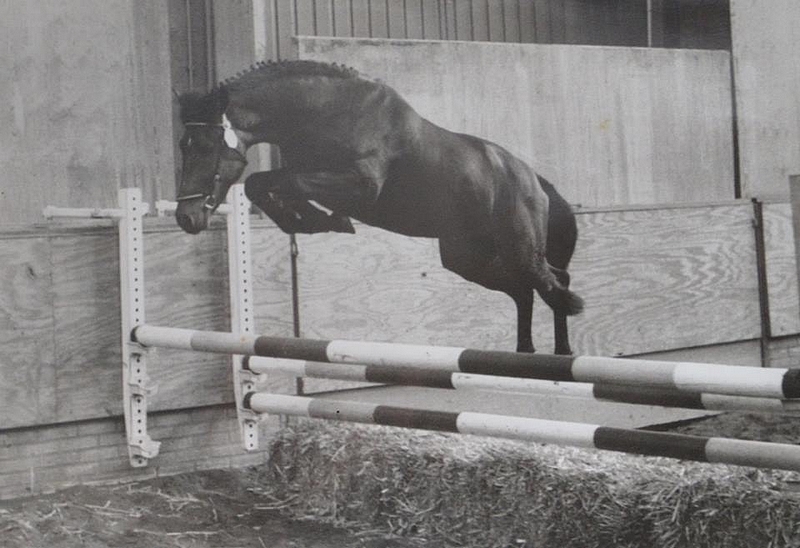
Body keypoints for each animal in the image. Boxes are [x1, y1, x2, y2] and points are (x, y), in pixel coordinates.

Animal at [175, 58, 580, 352]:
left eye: (207, 147)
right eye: (183, 145)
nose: (186, 217)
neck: (323, 112)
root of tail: (534, 180)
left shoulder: (360, 184)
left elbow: (276, 182)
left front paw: (326, 221)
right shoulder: (306, 174)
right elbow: (263, 184)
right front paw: (314, 221)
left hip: (516, 248)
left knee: (550, 280)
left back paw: (566, 338)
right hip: (467, 258)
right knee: (524, 289)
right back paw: (529, 353)